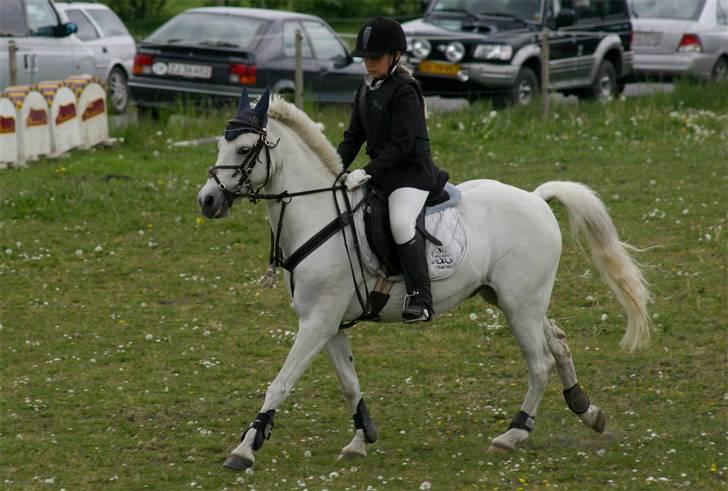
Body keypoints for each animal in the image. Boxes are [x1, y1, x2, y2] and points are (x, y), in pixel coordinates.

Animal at [197, 89, 651, 471]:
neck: (320, 215)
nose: (207, 200)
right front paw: (361, 439)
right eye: (220, 145)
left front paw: (244, 449)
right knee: (557, 343)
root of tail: (537, 198)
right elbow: (348, 384)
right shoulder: (328, 324)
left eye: (243, 149)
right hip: (512, 298)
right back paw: (586, 410)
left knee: (539, 362)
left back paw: (513, 433)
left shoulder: (317, 322)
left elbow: (280, 384)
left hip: (520, 305)